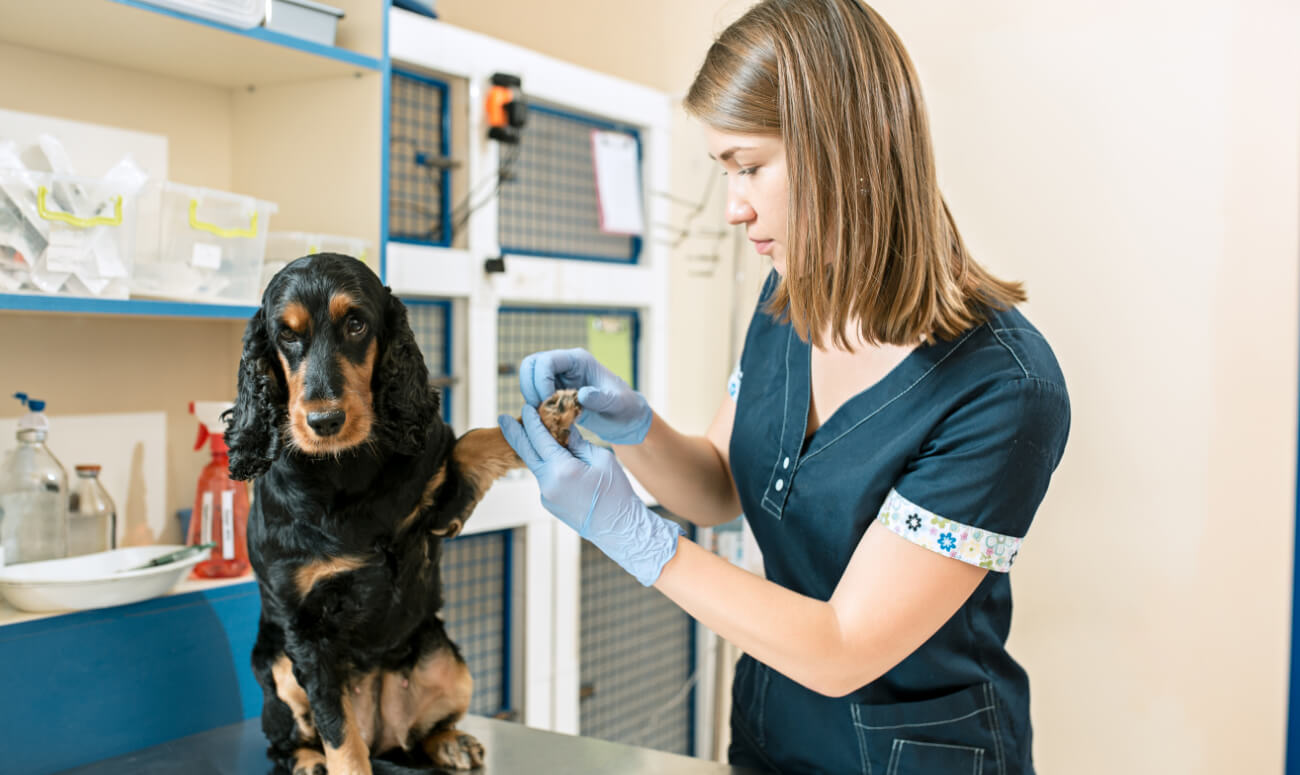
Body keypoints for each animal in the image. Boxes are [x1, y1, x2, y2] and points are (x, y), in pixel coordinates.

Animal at [225, 253, 578, 775]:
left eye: (356, 324)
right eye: (286, 334)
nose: (324, 422)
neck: (343, 470)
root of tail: (381, 732)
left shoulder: (442, 508)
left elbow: (472, 443)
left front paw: (548, 416)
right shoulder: (305, 629)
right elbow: (339, 733)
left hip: (449, 660)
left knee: (418, 735)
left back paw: (450, 742)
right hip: (278, 665)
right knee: (289, 741)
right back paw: (308, 760)